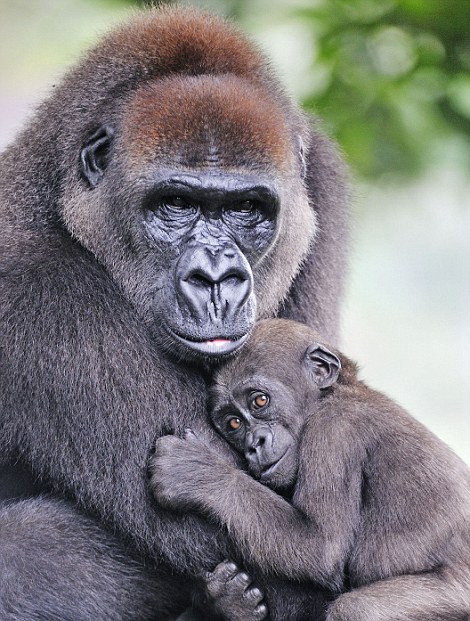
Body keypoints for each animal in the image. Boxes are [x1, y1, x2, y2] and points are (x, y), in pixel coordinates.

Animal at [151, 320, 470, 620]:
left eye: (260, 400)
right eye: (233, 423)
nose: (255, 443)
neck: (334, 394)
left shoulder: (333, 430)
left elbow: (321, 546)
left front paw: (196, 472)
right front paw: (227, 601)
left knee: (356, 610)